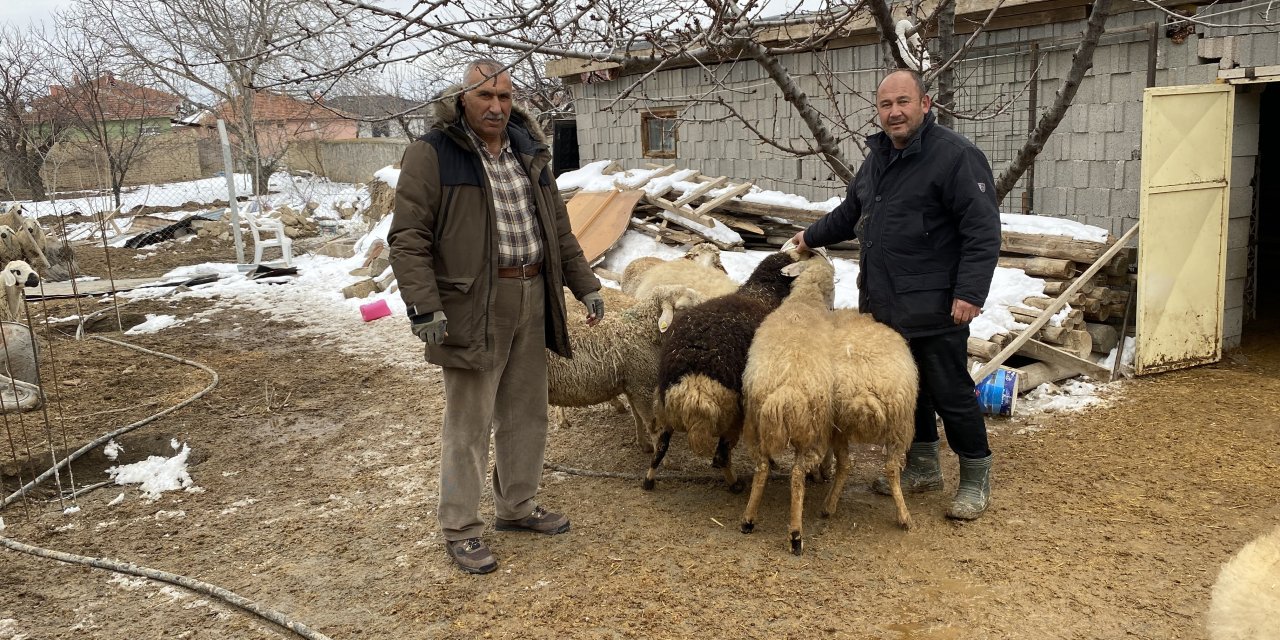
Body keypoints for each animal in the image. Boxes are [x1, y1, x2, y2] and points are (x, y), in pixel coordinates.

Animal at [545, 282, 706, 453]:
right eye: (682, 307)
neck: (642, 329)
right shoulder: (642, 386)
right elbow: (652, 424)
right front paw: (659, 454)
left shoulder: (631, 385)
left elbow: (638, 418)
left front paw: (644, 444)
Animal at [650, 248, 798, 488]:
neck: (761, 294)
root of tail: (694, 383)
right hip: (731, 416)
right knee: (720, 456)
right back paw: (735, 484)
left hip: (666, 409)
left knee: (660, 448)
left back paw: (649, 480)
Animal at [737, 249, 834, 555]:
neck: (805, 299)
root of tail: (786, 393)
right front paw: (823, 474)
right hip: (811, 432)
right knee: (797, 475)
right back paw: (796, 535)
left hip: (754, 423)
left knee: (761, 468)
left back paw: (748, 520)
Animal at [819, 307, 921, 532]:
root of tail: (865, 388)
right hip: (899, 426)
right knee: (891, 469)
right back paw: (904, 516)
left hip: (843, 426)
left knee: (845, 465)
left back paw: (829, 506)